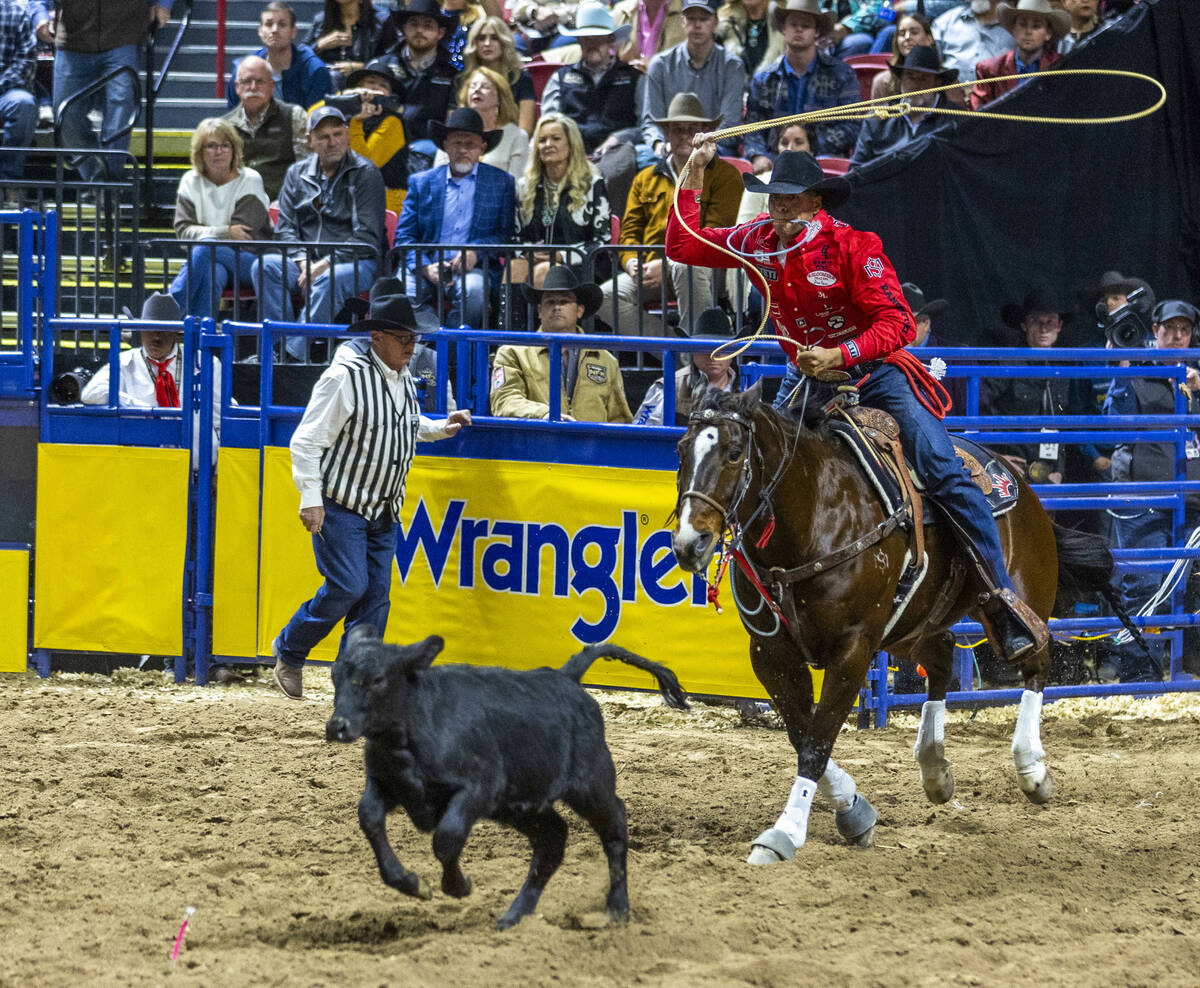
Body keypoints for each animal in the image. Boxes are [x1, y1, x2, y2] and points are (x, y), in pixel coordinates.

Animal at [324, 629, 691, 931]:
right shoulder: (387, 785)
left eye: (377, 679)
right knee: (552, 839)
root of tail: (566, 679)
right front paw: (412, 884)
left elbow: (447, 838)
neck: (412, 730)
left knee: (614, 824)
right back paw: (515, 918)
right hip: (521, 807)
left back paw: (617, 909)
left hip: (591, 785)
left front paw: (458, 886)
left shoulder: (478, 789)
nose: (337, 726)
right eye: (335, 676)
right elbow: (369, 817)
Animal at [672, 381, 1128, 859]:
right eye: (681, 450)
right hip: (910, 626)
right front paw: (854, 810)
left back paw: (1031, 770)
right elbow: (802, 735)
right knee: (942, 658)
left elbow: (816, 742)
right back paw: (934, 767)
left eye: (734, 452)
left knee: (1036, 662)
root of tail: (1017, 480)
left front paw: (786, 832)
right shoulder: (771, 654)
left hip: (1018, 599)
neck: (815, 516)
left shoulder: (853, 651)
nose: (690, 542)